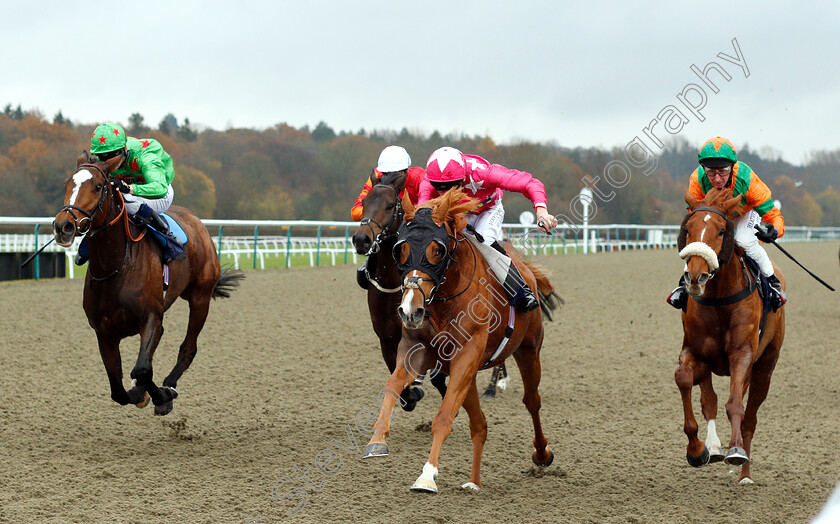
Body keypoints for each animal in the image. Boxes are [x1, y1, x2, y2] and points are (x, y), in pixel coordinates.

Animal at [54, 152, 241, 418]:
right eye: (66, 184)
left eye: (98, 186)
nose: (63, 226)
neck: (117, 266)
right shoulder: (104, 332)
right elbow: (118, 389)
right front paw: (139, 393)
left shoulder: (151, 317)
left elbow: (142, 370)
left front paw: (161, 396)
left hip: (200, 298)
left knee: (188, 348)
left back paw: (170, 385)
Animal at [360, 190, 556, 494]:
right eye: (401, 250)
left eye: (438, 250)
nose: (409, 310)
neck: (445, 298)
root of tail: (526, 270)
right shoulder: (417, 350)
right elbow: (393, 385)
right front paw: (377, 440)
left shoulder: (467, 353)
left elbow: (443, 417)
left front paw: (427, 475)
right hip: (468, 373)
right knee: (480, 424)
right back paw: (474, 482)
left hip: (528, 350)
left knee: (532, 401)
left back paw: (542, 453)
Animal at [672, 187, 784, 484]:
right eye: (688, 228)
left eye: (722, 230)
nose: (695, 276)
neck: (720, 300)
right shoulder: (697, 353)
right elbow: (686, 379)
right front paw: (697, 450)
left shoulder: (742, 354)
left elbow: (735, 404)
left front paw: (735, 450)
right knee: (709, 400)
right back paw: (713, 448)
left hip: (765, 367)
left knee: (750, 418)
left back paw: (745, 474)